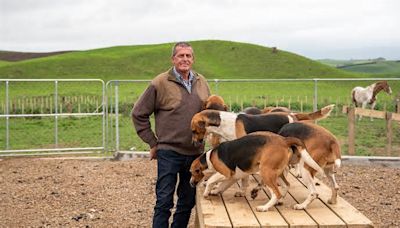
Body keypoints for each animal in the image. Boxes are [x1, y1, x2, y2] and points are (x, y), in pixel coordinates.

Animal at [190, 132, 324, 212]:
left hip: (266, 172)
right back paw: (280, 202)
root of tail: (284, 140)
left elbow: (211, 180)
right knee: (286, 186)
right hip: (277, 173)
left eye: (192, 172)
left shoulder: (226, 173)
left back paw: (264, 207)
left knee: (276, 193)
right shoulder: (233, 176)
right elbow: (223, 185)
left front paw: (207, 192)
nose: (191, 183)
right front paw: (215, 191)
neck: (209, 157)